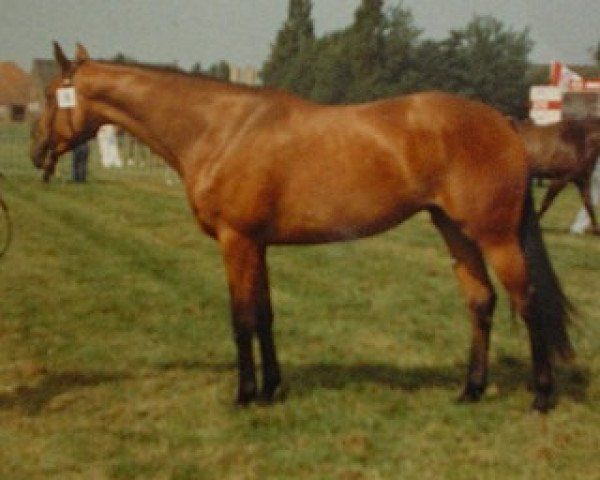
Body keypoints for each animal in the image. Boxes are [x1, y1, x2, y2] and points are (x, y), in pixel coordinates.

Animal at [30, 43, 576, 412]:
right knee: (481, 302)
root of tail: (505, 123)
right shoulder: (258, 245)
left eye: (50, 95)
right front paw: (273, 389)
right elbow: (265, 315)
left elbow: (241, 318)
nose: (36, 152)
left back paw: (542, 396)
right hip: (454, 230)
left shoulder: (236, 241)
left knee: (526, 302)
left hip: (495, 235)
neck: (220, 128)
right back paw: (470, 390)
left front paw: (245, 394)